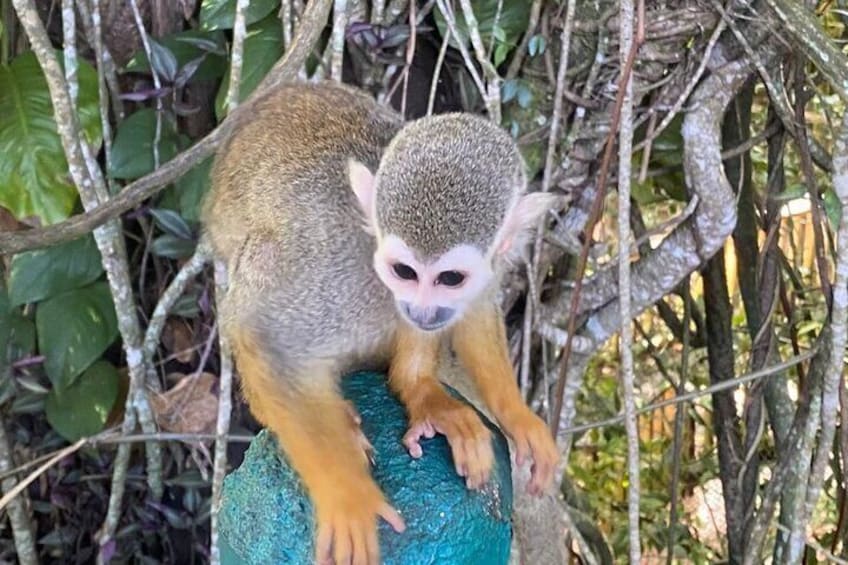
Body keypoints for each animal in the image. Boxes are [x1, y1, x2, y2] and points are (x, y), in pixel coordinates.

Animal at [203, 82, 559, 565]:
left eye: (449, 278)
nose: (422, 309)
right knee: (260, 265)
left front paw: (516, 415)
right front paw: (348, 495)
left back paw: (419, 388)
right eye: (404, 271)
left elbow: (474, 311)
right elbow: (266, 335)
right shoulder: (337, 269)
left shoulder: (490, 267)